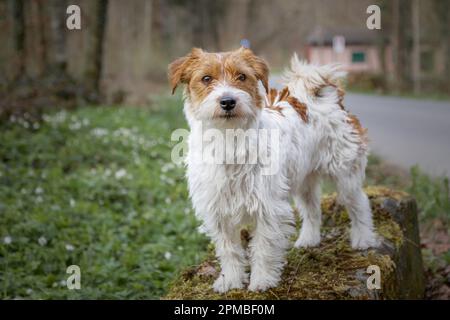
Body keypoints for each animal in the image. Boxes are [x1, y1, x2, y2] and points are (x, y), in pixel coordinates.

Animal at [167, 47, 378, 292]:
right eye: (206, 78)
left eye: (242, 76)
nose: (228, 101)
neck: (230, 139)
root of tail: (322, 98)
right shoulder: (218, 211)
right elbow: (229, 250)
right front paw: (231, 280)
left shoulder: (267, 208)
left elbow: (264, 249)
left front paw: (262, 281)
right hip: (304, 181)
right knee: (312, 210)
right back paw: (309, 239)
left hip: (345, 175)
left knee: (359, 204)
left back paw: (363, 239)